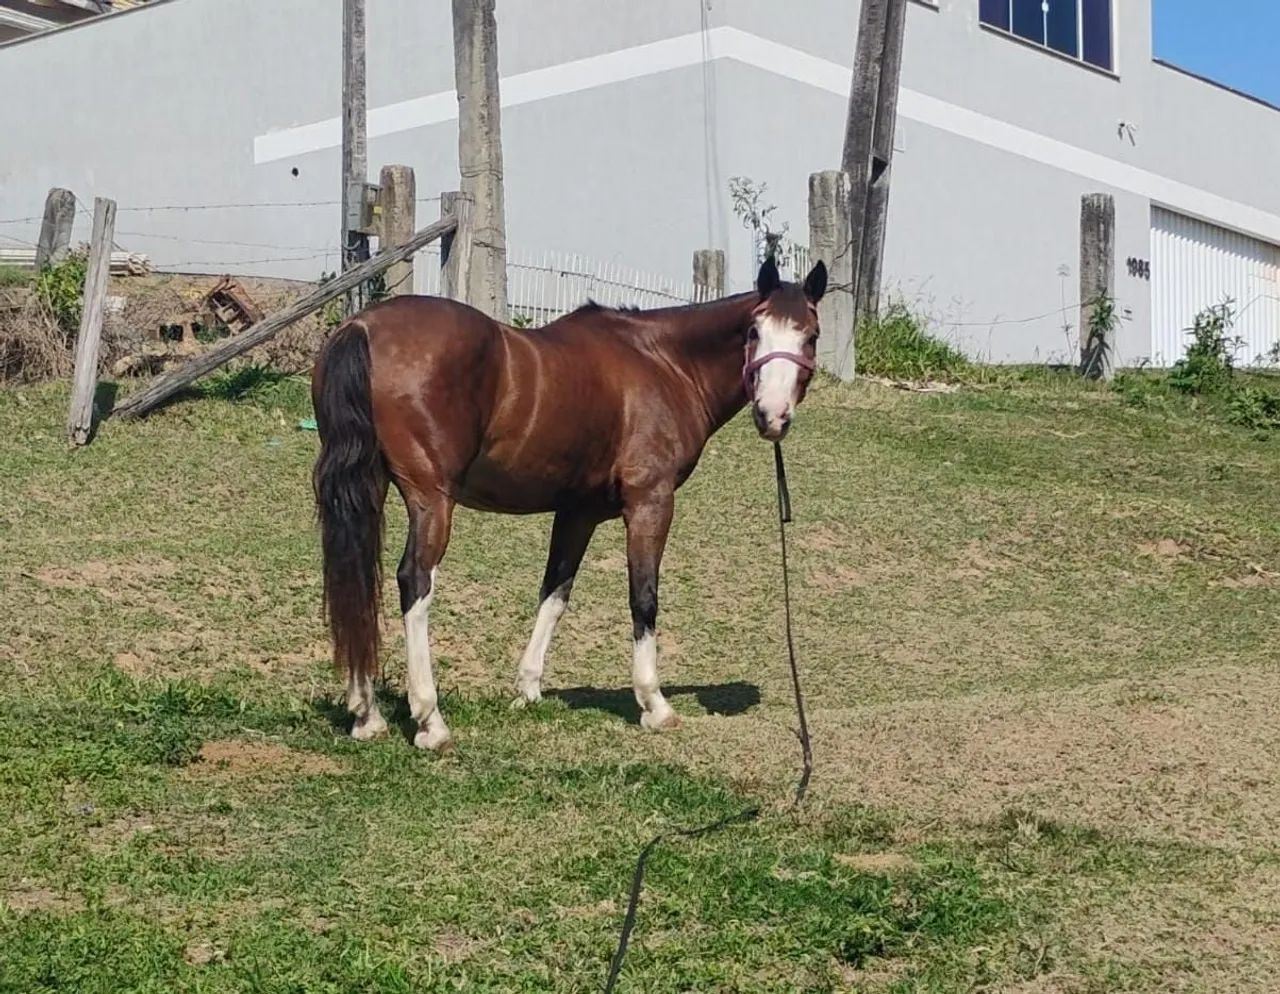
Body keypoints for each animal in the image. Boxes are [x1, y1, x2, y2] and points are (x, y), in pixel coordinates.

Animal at [310, 256, 827, 750]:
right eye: (755, 332)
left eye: (811, 336)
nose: (772, 416)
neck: (665, 363)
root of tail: (363, 326)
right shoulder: (650, 502)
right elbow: (643, 597)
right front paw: (654, 703)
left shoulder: (578, 512)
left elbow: (555, 592)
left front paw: (528, 689)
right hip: (431, 500)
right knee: (413, 581)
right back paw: (429, 720)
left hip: (366, 488)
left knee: (355, 574)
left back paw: (367, 715)